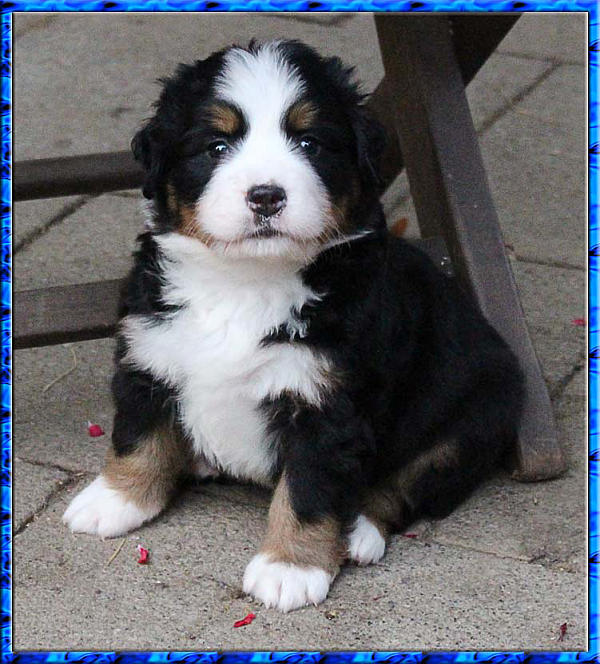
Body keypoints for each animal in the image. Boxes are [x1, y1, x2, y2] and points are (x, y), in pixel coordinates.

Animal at [63, 40, 524, 612]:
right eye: (216, 146)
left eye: (309, 142)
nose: (266, 195)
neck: (243, 282)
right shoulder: (149, 354)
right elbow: (137, 435)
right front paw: (114, 499)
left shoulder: (328, 403)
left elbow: (308, 490)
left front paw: (291, 568)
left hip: (474, 417)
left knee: (406, 483)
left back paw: (359, 531)